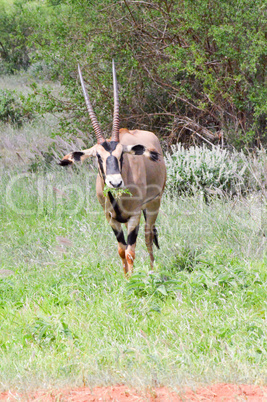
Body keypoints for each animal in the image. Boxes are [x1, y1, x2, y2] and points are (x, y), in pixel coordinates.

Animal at [59, 61, 166, 274]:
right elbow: (121, 250)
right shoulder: (111, 219)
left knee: (149, 237)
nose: (115, 183)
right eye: (98, 157)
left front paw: (132, 279)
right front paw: (124, 277)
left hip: (153, 205)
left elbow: (131, 252)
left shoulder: (134, 216)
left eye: (121, 155)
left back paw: (152, 270)